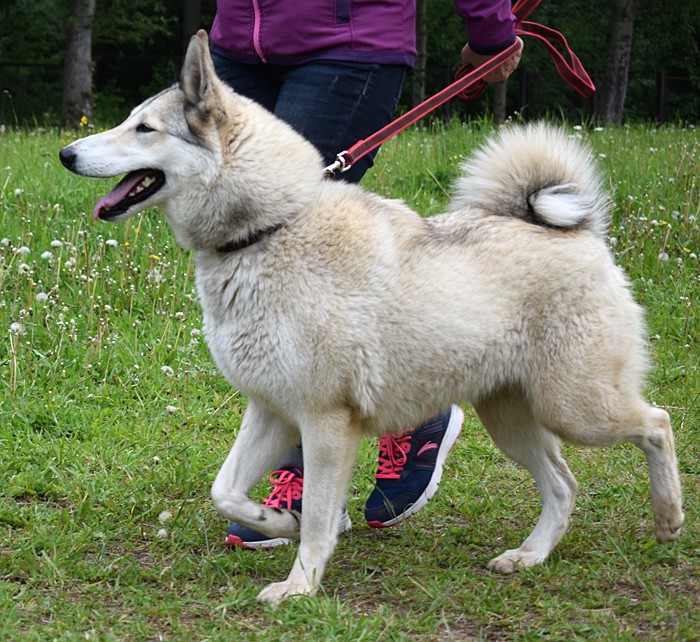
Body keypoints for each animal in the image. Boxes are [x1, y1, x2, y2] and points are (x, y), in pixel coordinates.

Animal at [59, 30, 683, 604]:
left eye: (145, 129)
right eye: (129, 121)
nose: (66, 155)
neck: (268, 231)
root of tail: (579, 232)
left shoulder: (324, 422)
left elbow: (317, 517)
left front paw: (300, 586)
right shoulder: (272, 410)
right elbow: (225, 491)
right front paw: (276, 521)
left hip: (575, 408)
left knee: (657, 422)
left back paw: (668, 517)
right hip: (511, 419)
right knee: (563, 486)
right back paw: (529, 556)